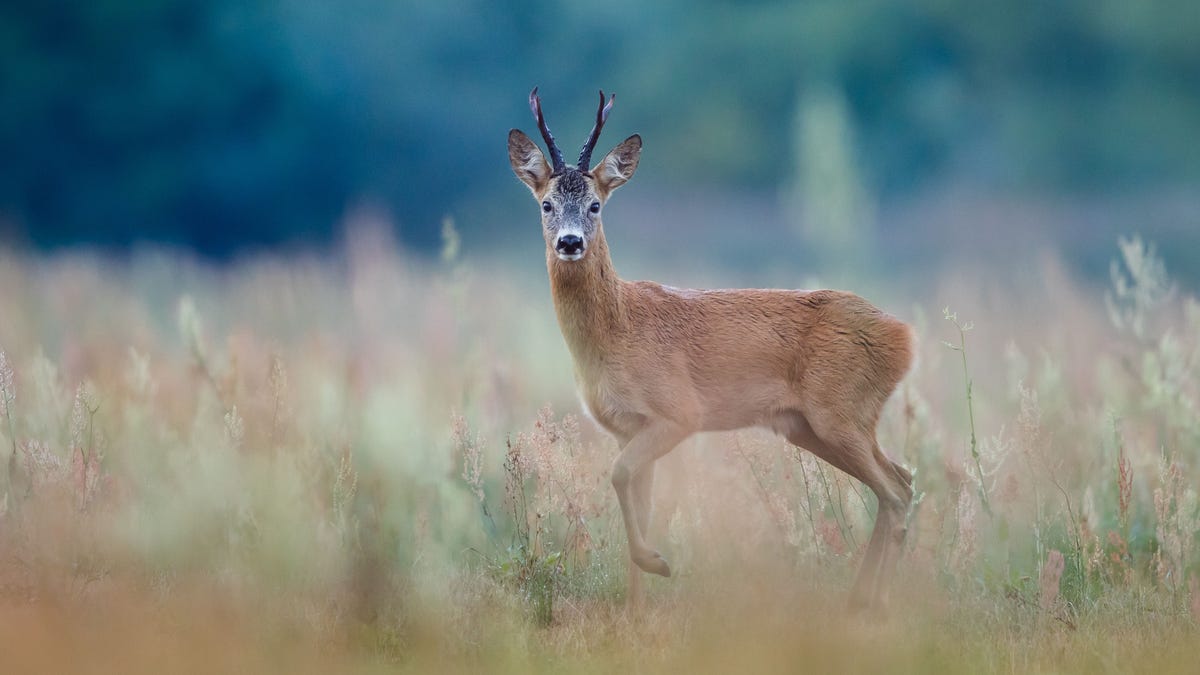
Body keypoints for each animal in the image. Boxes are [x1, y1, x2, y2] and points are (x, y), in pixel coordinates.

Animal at [508, 86, 916, 607]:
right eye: (546, 204)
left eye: (596, 205)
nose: (570, 242)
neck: (615, 332)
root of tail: (904, 337)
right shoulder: (626, 428)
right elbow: (636, 498)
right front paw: (636, 607)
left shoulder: (679, 412)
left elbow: (619, 476)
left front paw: (659, 563)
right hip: (815, 426)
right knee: (902, 479)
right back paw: (861, 599)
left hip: (839, 412)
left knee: (896, 492)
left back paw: (874, 603)